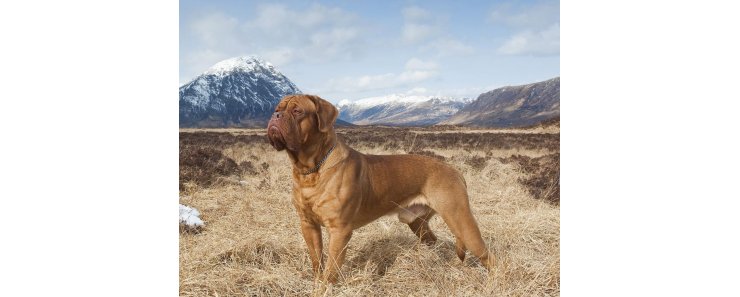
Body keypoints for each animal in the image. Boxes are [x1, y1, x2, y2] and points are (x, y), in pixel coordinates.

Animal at [268, 93, 494, 280]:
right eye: (277, 108)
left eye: (297, 111)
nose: (276, 115)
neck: (311, 170)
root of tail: (455, 170)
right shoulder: (308, 225)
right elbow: (317, 261)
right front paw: (316, 282)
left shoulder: (339, 230)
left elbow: (332, 269)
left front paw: (326, 287)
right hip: (417, 223)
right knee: (432, 240)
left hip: (460, 220)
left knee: (487, 256)